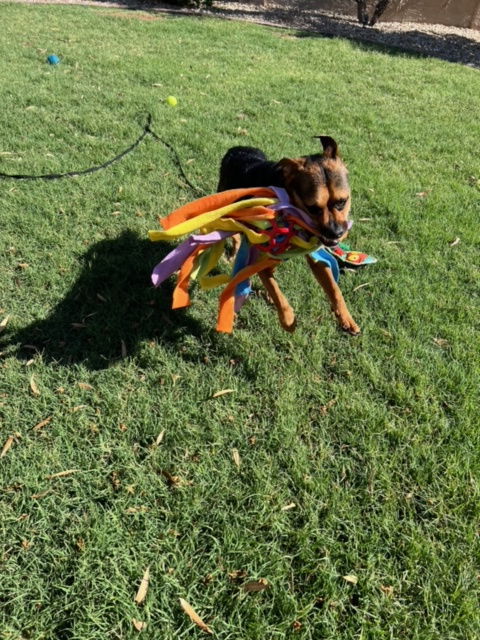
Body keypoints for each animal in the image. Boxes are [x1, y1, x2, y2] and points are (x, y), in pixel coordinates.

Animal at [218, 135, 360, 336]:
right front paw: (288, 319)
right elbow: (276, 291)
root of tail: (237, 148)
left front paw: (346, 318)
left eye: (342, 202)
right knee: (237, 238)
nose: (336, 233)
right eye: (312, 208)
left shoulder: (316, 256)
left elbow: (334, 289)